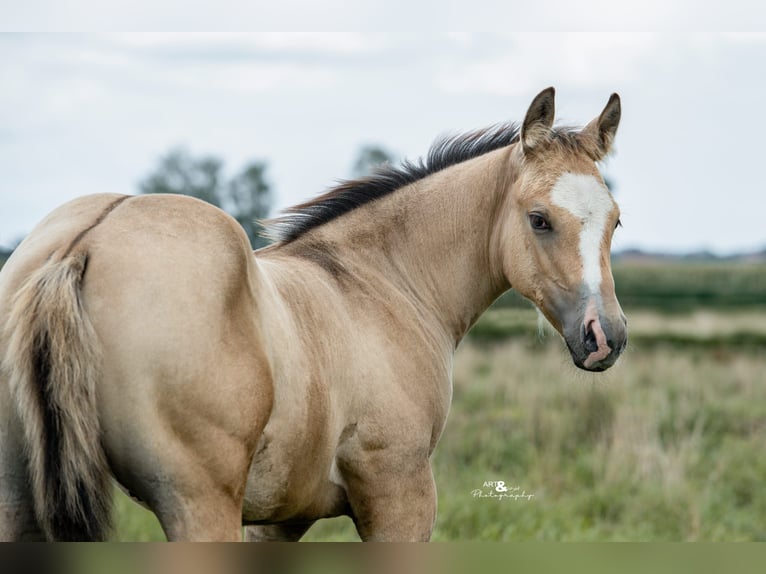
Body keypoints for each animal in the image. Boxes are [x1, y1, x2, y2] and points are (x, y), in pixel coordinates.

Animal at [0, 87, 627, 541]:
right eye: (539, 219)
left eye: (616, 220)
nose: (607, 337)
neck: (380, 280)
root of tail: (82, 244)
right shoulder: (400, 495)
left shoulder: (281, 518)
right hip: (198, 507)